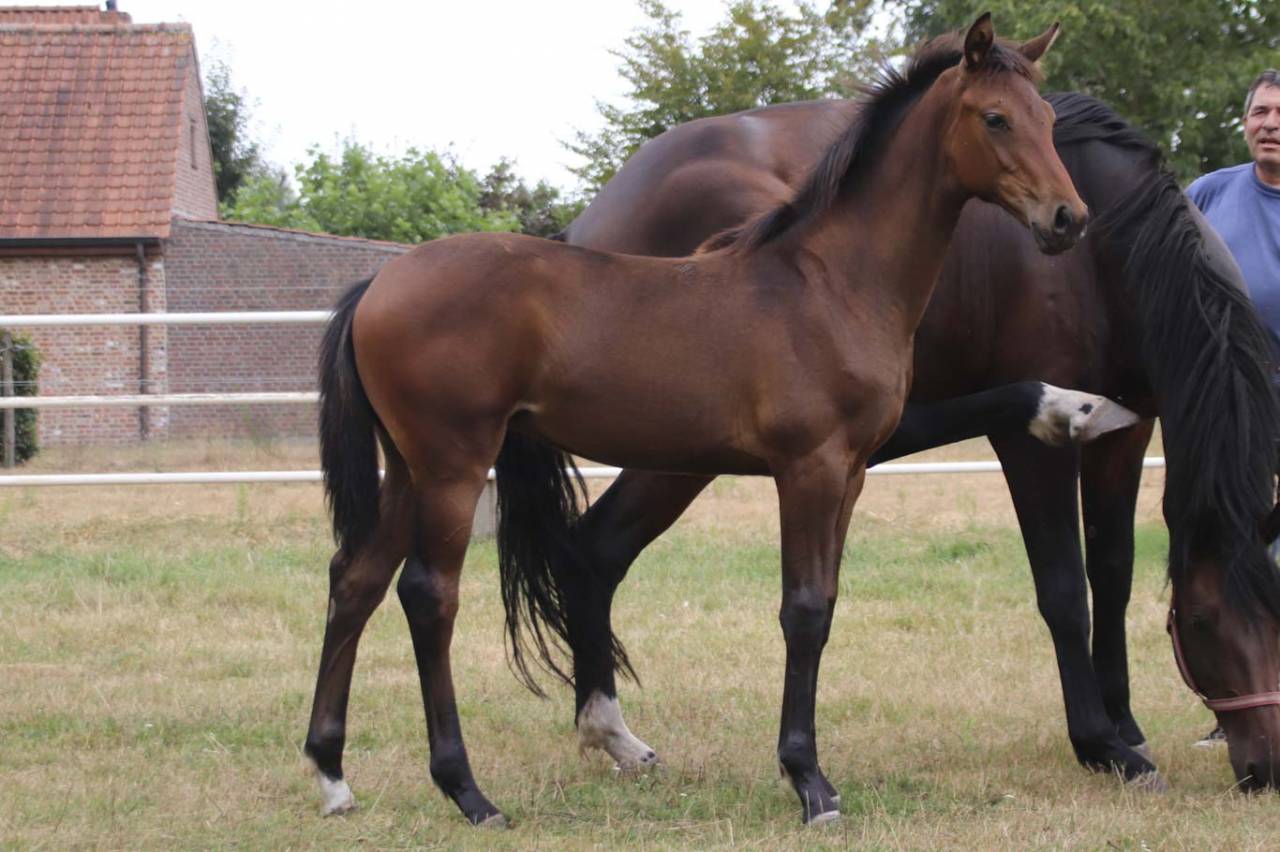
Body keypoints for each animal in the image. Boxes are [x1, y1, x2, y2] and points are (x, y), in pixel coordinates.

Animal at [303, 16, 1086, 826]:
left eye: (1047, 118)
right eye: (994, 118)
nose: (1068, 219)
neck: (831, 283)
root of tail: (377, 283)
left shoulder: (852, 473)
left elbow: (826, 606)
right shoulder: (808, 468)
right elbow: (804, 611)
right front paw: (809, 781)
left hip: (409, 470)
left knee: (356, 580)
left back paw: (332, 777)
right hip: (453, 467)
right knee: (429, 597)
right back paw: (467, 792)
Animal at [554, 85, 1280, 788]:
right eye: (1205, 621)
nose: (1264, 770)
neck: (1104, 249)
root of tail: (589, 220)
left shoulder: (1127, 428)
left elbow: (1114, 575)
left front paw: (1125, 725)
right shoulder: (1033, 444)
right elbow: (1066, 591)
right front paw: (1101, 743)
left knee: (597, 549)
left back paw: (615, 739)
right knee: (596, 547)